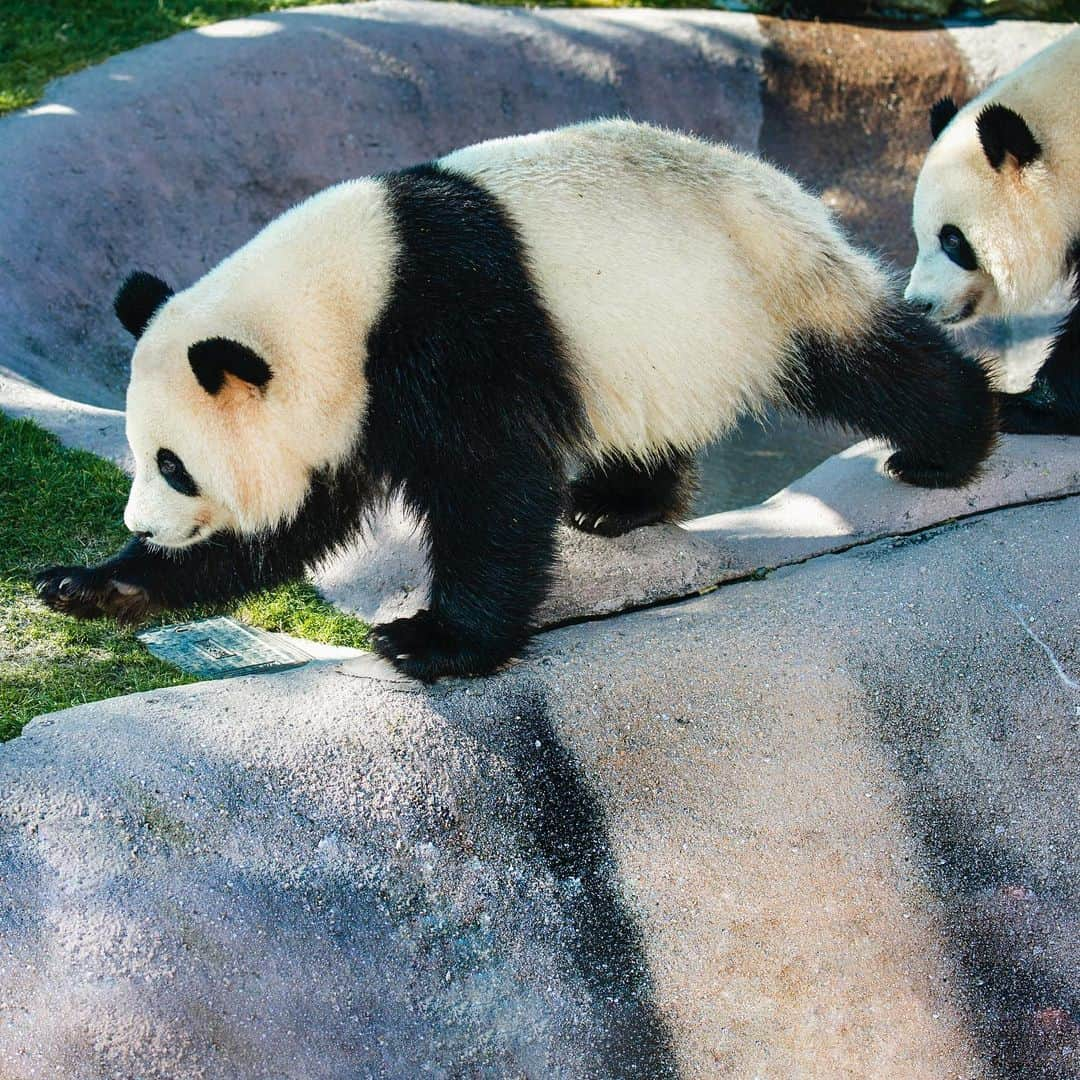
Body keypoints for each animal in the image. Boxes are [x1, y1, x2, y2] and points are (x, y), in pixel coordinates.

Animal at [33, 118, 993, 673]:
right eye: (140, 453)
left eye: (175, 465)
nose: (144, 524)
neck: (344, 292)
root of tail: (788, 187)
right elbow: (296, 522)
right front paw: (90, 584)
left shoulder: (448, 328)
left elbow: (489, 486)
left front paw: (431, 640)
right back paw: (615, 505)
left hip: (760, 282)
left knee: (868, 366)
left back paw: (947, 447)